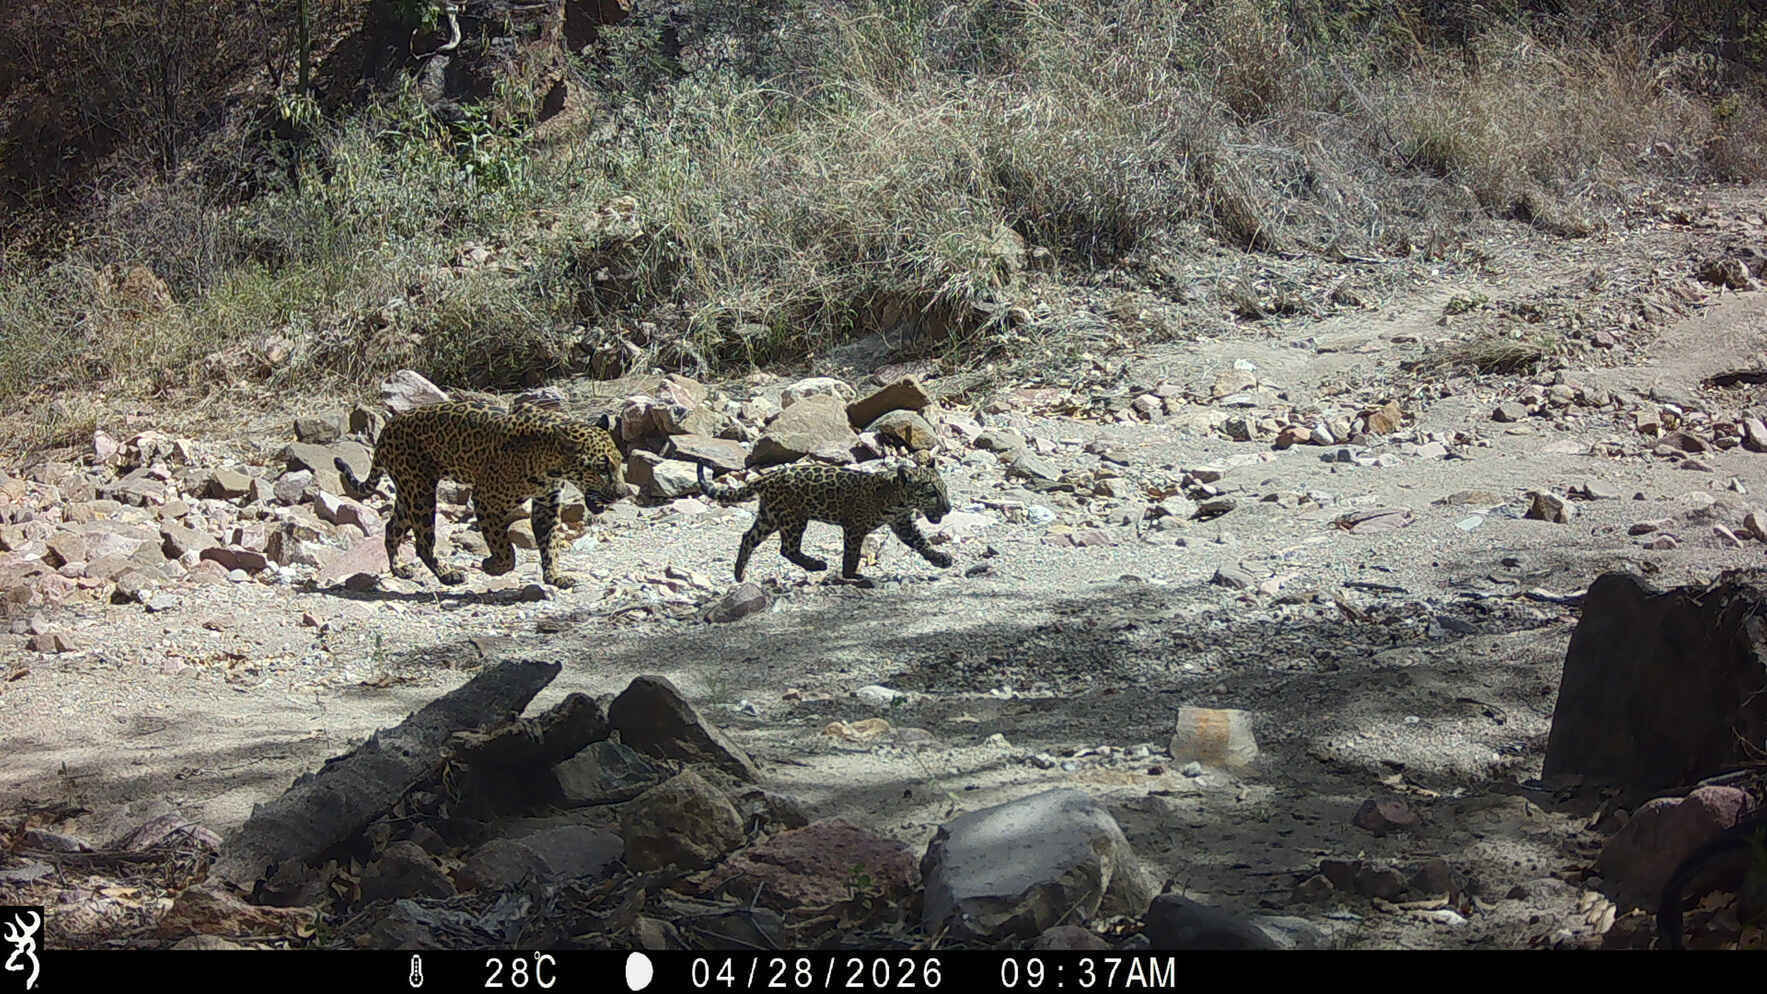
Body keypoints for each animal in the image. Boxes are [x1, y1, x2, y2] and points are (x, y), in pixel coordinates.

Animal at [336, 399, 626, 588]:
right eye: (602, 468)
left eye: (620, 463)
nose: (623, 493)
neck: (550, 460)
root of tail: (387, 427)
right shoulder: (486, 500)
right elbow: (505, 549)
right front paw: (492, 565)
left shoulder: (547, 505)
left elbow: (550, 542)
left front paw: (555, 576)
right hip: (421, 493)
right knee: (423, 542)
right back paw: (447, 574)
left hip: (410, 493)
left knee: (392, 526)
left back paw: (399, 568)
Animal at [696, 458, 953, 584]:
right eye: (932, 493)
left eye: (945, 489)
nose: (949, 508)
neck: (897, 498)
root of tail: (768, 477)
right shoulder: (854, 526)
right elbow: (851, 553)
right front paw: (851, 575)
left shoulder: (902, 523)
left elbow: (920, 542)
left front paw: (940, 559)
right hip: (793, 518)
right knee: (787, 549)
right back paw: (816, 565)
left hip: (769, 517)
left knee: (749, 537)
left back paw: (739, 573)